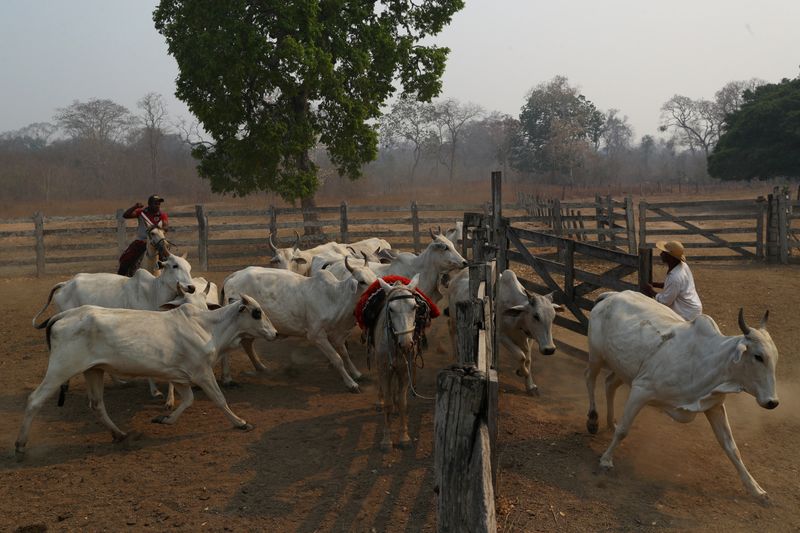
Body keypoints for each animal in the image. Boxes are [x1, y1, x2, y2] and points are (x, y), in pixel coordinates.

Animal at [14, 294, 278, 456]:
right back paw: (20, 444)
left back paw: (120, 434)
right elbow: (220, 400)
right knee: (34, 400)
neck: (208, 327)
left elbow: (188, 400)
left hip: (94, 371)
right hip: (61, 369)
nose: (274, 333)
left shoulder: (180, 376)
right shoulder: (202, 373)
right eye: (257, 312)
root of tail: (63, 315)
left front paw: (165, 419)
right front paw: (240, 422)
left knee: (97, 405)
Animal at [220, 258, 380, 390]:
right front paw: (351, 384)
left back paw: (261, 367)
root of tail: (233, 276)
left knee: (247, 344)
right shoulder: (317, 336)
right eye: (362, 281)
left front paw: (357, 373)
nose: (379, 293)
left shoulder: (337, 334)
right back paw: (227, 379)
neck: (334, 298)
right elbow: (337, 359)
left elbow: (345, 354)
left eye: (374, 277)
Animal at [584, 286, 780, 498]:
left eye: (775, 358)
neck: (707, 361)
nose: (773, 402)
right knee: (590, 379)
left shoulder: (714, 406)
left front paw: (756, 489)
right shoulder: (641, 389)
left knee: (609, 384)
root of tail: (611, 295)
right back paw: (593, 419)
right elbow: (623, 430)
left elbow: (731, 448)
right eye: (758, 356)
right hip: (596, 356)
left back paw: (610, 422)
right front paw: (606, 460)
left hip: (624, 368)